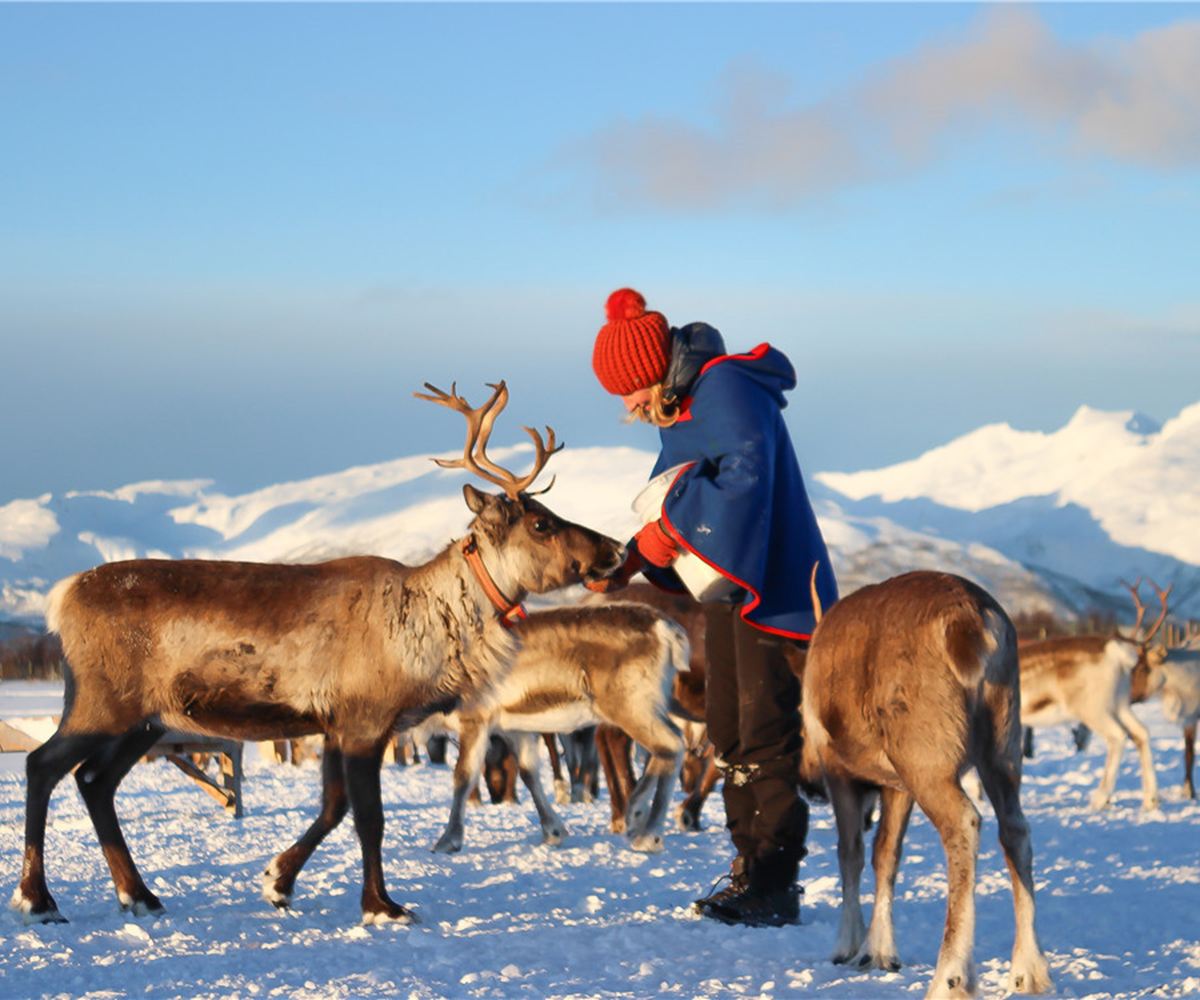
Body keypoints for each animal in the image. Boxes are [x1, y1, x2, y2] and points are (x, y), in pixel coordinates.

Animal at [12, 381, 624, 926]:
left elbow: (333, 808)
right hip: (101, 703)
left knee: (94, 782)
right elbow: (369, 818)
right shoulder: (366, 720)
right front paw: (382, 906)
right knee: (43, 765)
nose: (615, 549)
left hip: (147, 720)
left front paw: (277, 881)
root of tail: (60, 597)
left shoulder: (334, 724)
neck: (430, 617)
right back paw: (39, 900)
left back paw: (139, 895)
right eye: (542, 523)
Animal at [420, 599, 691, 854]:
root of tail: (666, 628)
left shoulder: (475, 719)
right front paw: (553, 831)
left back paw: (648, 835)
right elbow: (529, 772)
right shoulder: (515, 729)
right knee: (670, 742)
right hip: (649, 706)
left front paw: (447, 840)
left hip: (628, 705)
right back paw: (635, 812)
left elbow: (463, 776)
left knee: (671, 745)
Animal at [801, 570, 1052, 999]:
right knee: (1016, 831)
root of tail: (973, 621)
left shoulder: (840, 770)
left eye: (798, 720)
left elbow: (850, 853)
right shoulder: (897, 784)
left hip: (926, 757)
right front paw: (879, 950)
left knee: (964, 823)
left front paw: (847, 944)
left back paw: (951, 977)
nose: (807, 785)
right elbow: (886, 855)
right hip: (1002, 742)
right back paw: (1029, 969)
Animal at [1018, 579, 1170, 812]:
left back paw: (1100, 798)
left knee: (1118, 735)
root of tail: (1117, 654)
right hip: (1119, 703)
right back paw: (1150, 799)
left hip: (1091, 707)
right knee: (1141, 732)